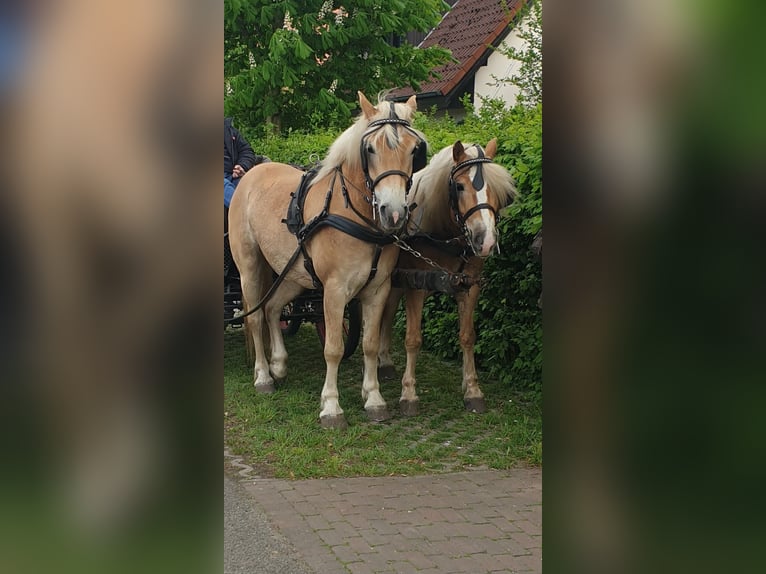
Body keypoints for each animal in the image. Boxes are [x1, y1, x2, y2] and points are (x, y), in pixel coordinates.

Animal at [228, 92, 432, 430]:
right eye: (370, 148)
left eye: (415, 149)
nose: (393, 213)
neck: (352, 213)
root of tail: (251, 173)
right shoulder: (335, 290)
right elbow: (334, 349)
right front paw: (332, 407)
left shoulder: (377, 290)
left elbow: (370, 344)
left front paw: (374, 399)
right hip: (250, 268)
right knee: (255, 318)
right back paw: (263, 376)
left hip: (292, 274)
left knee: (271, 309)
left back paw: (279, 365)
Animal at [376, 140, 516, 418]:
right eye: (459, 186)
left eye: (498, 190)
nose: (485, 241)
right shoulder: (416, 287)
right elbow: (413, 339)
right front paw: (409, 394)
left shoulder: (469, 286)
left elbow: (468, 336)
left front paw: (472, 389)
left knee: (388, 311)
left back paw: (384, 362)